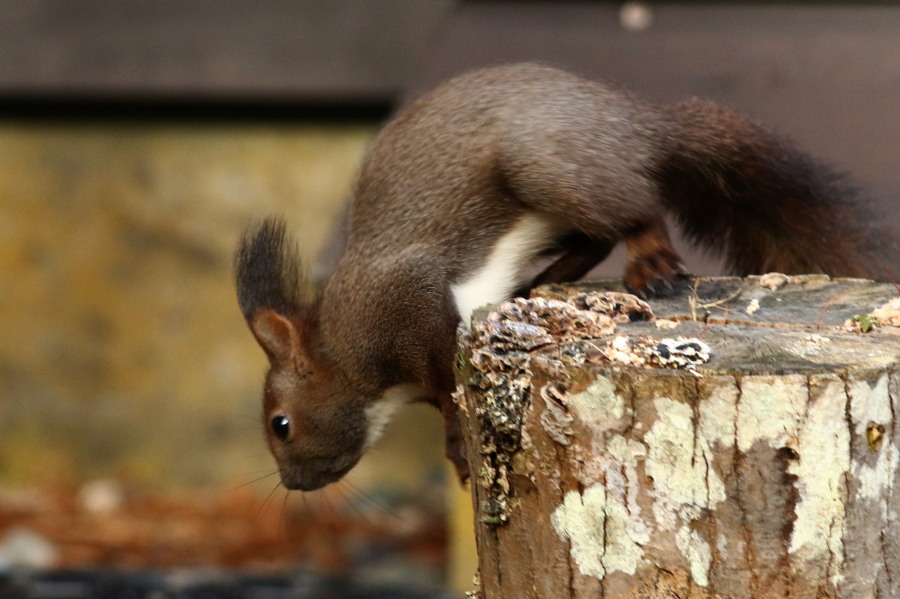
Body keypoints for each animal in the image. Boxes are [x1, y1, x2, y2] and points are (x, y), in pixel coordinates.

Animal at [232, 62, 892, 492]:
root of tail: (639, 126)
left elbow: (445, 386)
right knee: (596, 235)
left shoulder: (401, 297)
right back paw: (533, 284)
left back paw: (649, 260)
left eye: (280, 425)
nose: (296, 485)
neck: (347, 352)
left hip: (547, 169)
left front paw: (456, 444)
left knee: (638, 211)